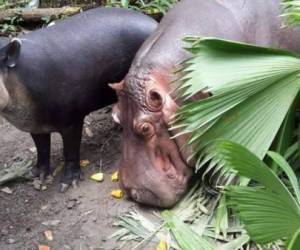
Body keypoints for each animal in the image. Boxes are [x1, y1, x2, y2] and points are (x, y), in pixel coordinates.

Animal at [0, 7, 158, 191]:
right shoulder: (33, 122)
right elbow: (42, 148)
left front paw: (67, 183)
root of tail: (154, 23)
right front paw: (37, 175)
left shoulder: (72, 120)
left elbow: (70, 150)